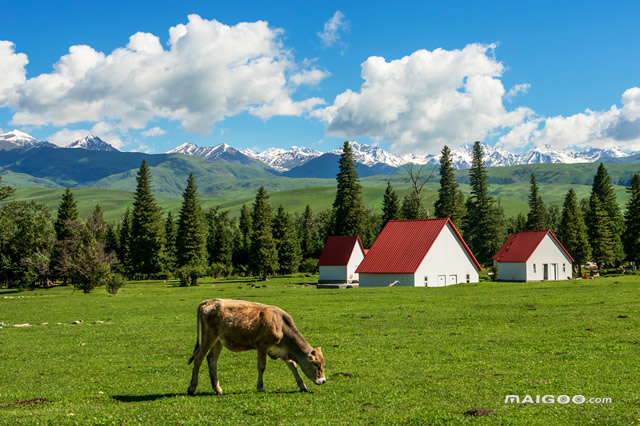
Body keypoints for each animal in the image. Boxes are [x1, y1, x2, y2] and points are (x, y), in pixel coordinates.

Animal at [185, 298, 324, 394]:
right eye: (316, 364)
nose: (323, 380)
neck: (281, 325)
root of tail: (209, 301)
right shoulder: (262, 346)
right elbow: (261, 366)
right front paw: (260, 387)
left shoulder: (282, 350)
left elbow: (292, 365)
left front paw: (302, 385)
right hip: (209, 337)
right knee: (198, 357)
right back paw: (192, 387)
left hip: (219, 341)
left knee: (212, 359)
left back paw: (218, 388)